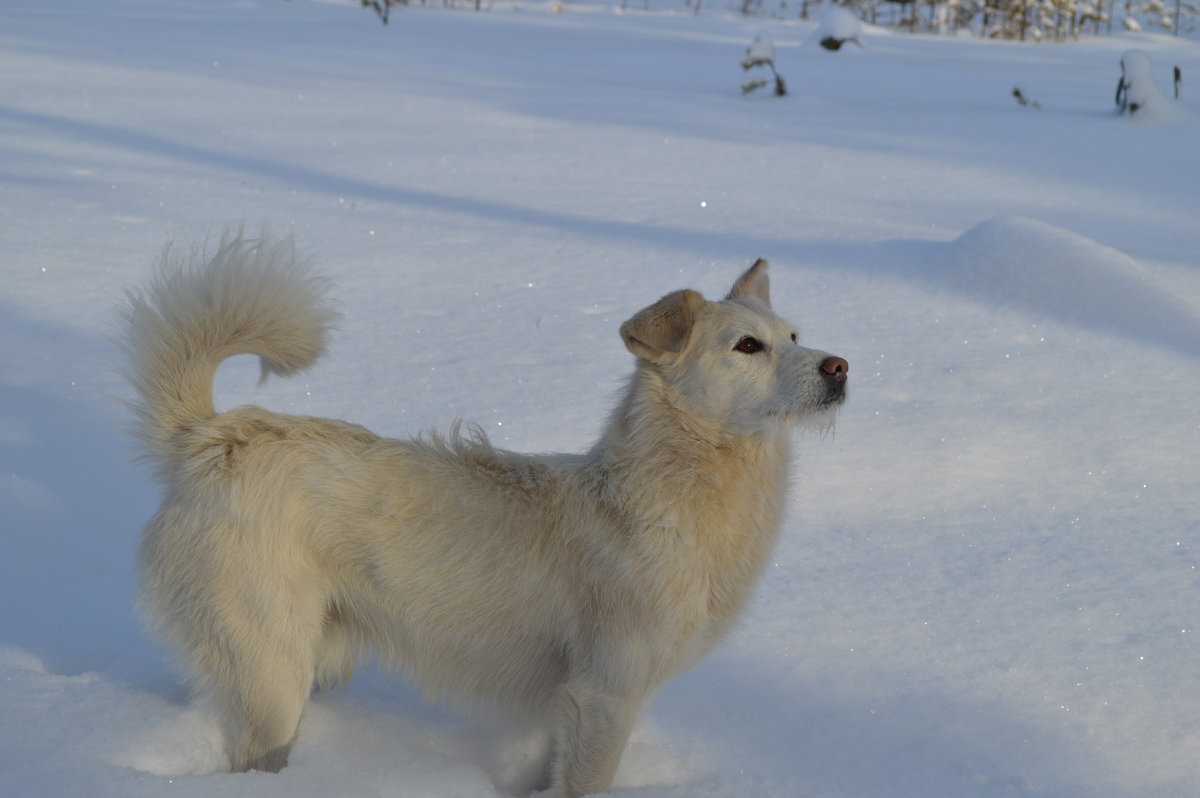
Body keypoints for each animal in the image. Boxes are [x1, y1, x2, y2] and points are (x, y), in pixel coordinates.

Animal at [121, 234, 849, 792]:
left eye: (795, 336)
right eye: (748, 346)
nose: (840, 367)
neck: (664, 495)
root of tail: (214, 437)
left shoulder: (570, 703)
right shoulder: (605, 696)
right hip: (274, 673)